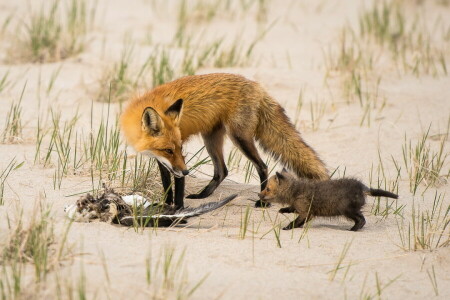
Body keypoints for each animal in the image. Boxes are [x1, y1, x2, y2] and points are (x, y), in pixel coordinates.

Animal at [121, 73, 328, 209]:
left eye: (180, 148)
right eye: (168, 150)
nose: (187, 171)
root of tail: (257, 86)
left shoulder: (179, 160)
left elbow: (177, 185)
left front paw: (177, 209)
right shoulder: (164, 160)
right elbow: (167, 185)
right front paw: (166, 204)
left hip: (239, 137)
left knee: (262, 166)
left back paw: (262, 202)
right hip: (211, 139)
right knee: (222, 171)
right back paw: (203, 195)